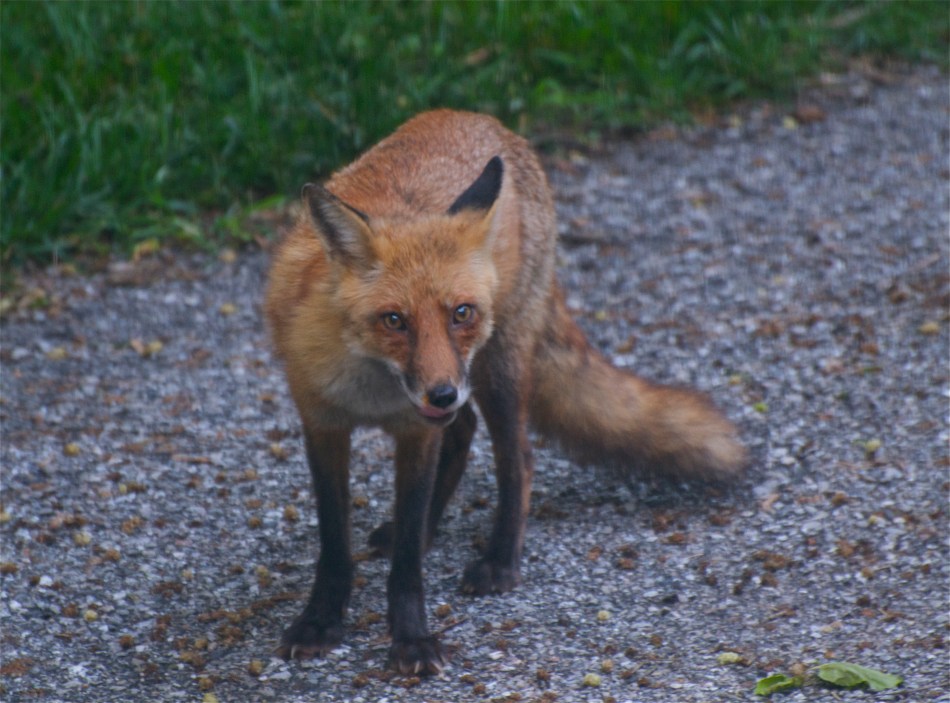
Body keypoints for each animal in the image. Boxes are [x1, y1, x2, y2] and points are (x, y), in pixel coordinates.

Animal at [264, 109, 746, 675]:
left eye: (460, 313)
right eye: (394, 320)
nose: (442, 395)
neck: (372, 389)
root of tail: (482, 120)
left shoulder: (417, 430)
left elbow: (406, 563)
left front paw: (411, 638)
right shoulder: (322, 422)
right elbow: (334, 542)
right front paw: (320, 620)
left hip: (497, 371)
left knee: (517, 455)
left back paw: (499, 559)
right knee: (465, 433)